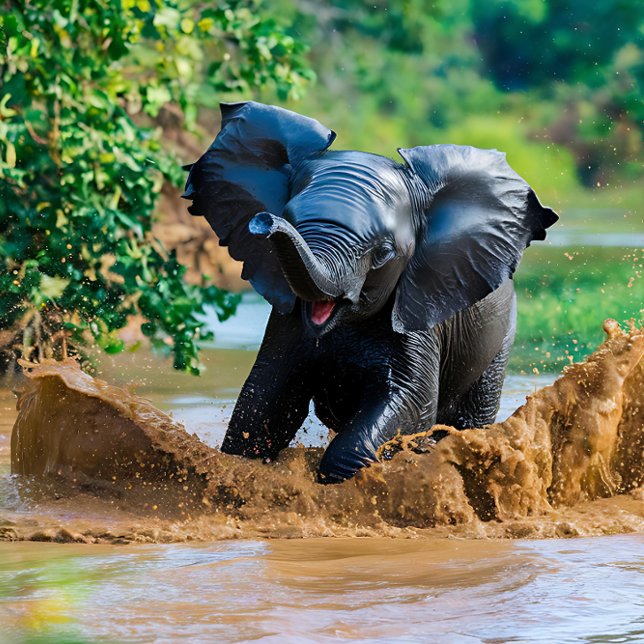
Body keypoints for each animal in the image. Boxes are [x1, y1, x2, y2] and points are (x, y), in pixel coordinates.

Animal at [182, 101, 558, 483]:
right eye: (288, 219)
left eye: (383, 253)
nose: (265, 221)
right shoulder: (287, 322)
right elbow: (265, 399)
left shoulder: (418, 315)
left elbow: (410, 401)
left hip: (499, 335)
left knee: (470, 417)